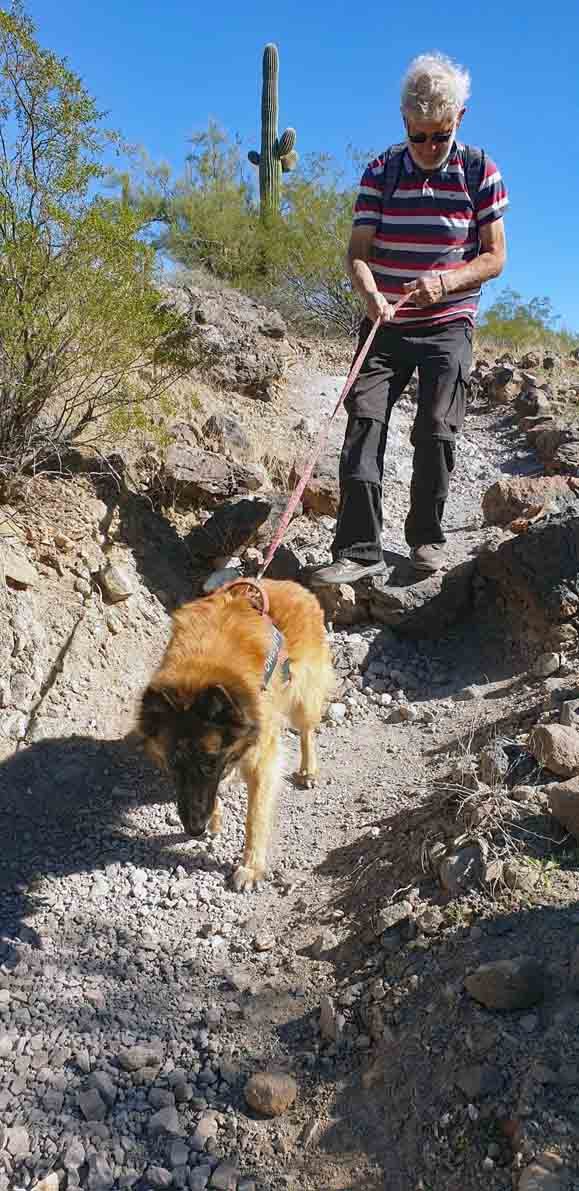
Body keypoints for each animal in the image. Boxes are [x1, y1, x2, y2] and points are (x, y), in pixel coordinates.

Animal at [138, 577, 335, 891]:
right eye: (173, 765)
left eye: (209, 762)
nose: (194, 829)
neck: (201, 672)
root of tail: (293, 585)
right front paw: (216, 817)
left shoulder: (263, 759)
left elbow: (255, 816)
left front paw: (251, 867)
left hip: (302, 697)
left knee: (306, 730)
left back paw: (308, 770)